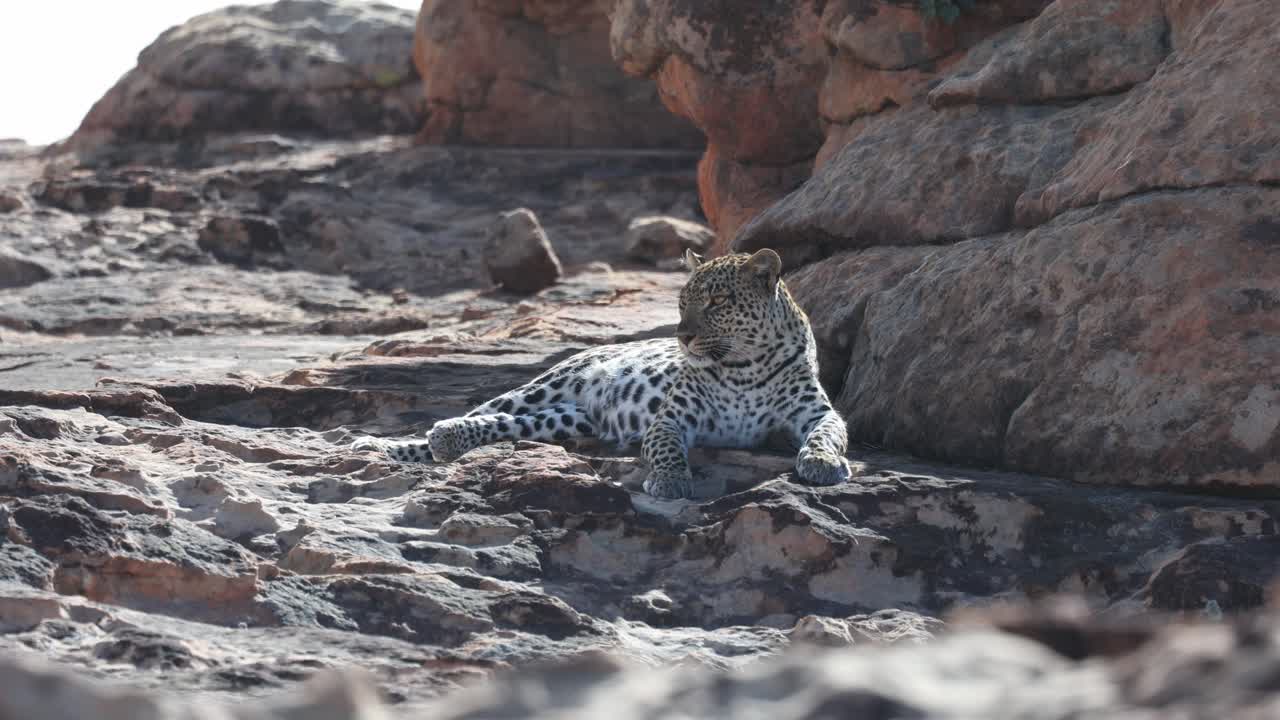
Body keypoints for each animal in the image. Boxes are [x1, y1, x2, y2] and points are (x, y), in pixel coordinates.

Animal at [353, 248, 851, 499]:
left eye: (717, 301)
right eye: (682, 302)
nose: (682, 336)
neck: (744, 366)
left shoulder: (817, 413)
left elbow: (827, 434)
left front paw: (822, 463)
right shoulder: (671, 419)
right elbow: (668, 448)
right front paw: (670, 480)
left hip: (567, 420)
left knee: (506, 424)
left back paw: (445, 441)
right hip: (542, 387)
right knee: (482, 412)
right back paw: (389, 444)